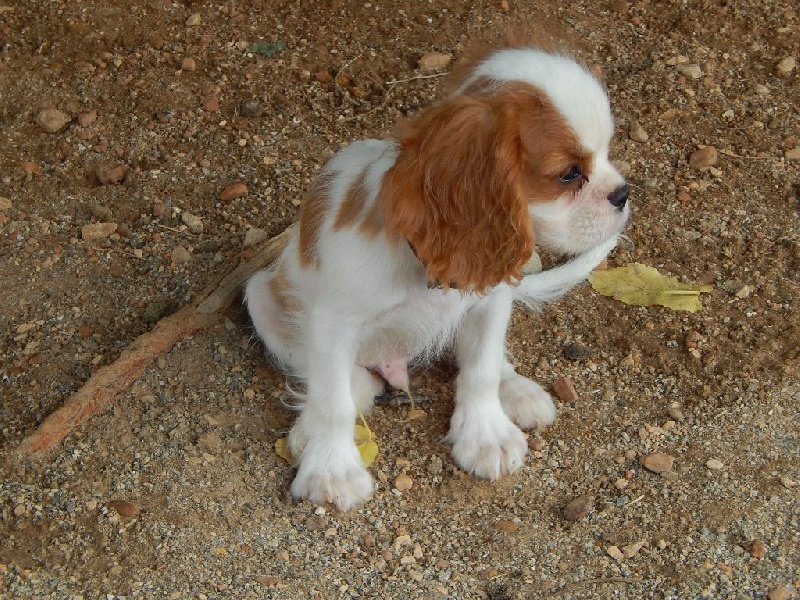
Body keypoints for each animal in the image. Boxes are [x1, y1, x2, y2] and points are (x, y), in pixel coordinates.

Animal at [245, 45, 630, 510]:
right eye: (569, 174)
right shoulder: (330, 323)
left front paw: (485, 435)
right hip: (260, 295)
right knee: (343, 379)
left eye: (607, 153)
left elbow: (481, 367)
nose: (624, 194)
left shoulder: (490, 299)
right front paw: (332, 470)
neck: (426, 259)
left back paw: (515, 388)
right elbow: (332, 400)